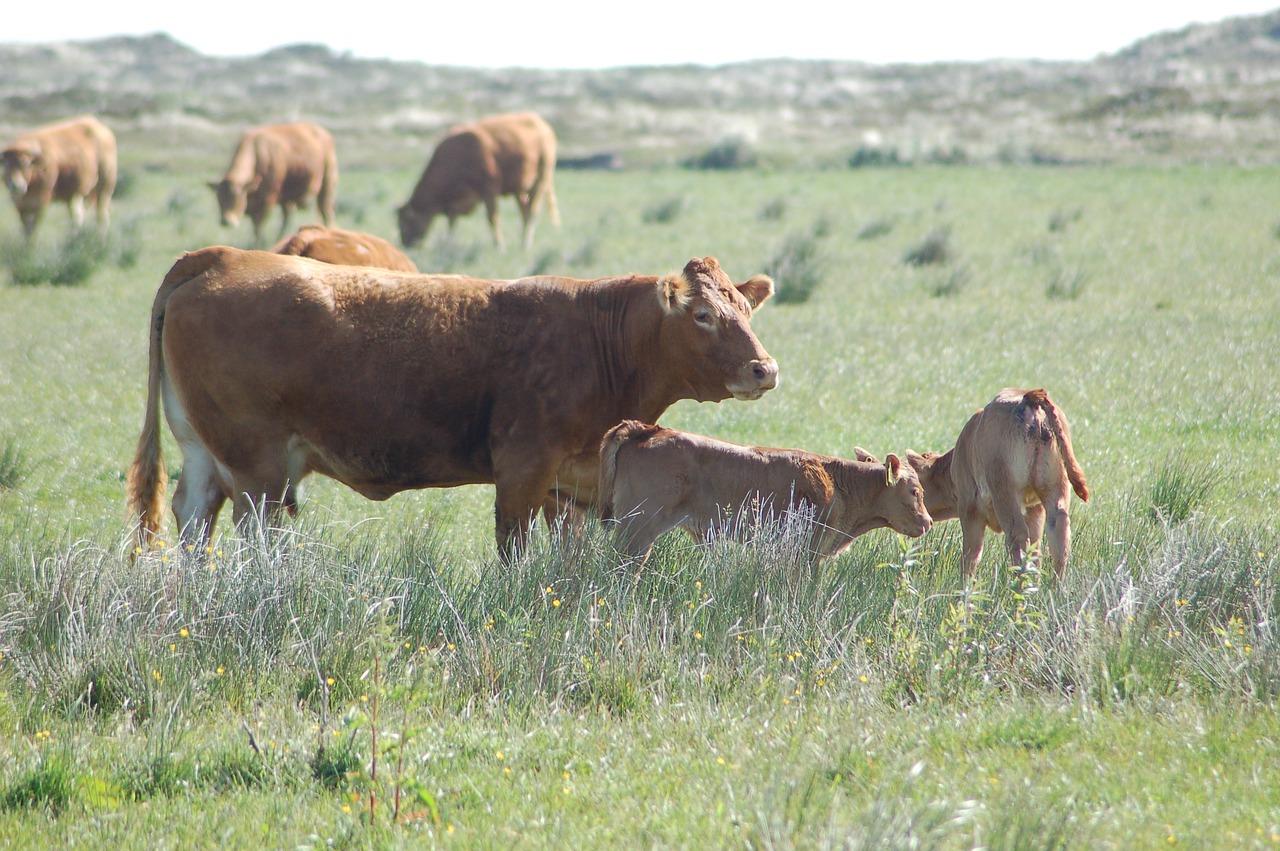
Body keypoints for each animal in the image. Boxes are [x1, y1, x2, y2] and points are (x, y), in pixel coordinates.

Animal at [127, 245, 778, 557]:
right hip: (255, 464)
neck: (597, 338)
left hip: (204, 452)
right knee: (251, 530)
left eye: (745, 309)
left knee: (193, 517)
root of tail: (223, 256)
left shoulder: (572, 484)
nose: (764, 369)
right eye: (701, 314)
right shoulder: (522, 469)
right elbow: (515, 551)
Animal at [206, 122, 335, 249]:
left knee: (326, 212)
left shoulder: (267, 201)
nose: (226, 221)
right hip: (287, 198)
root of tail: (322, 132)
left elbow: (258, 227)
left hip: (326, 185)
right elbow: (255, 227)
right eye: (219, 198)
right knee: (287, 216)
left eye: (237, 197)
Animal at [890, 389, 1090, 578]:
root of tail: (1029, 397)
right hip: (1055, 489)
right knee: (1059, 535)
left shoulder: (969, 509)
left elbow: (971, 557)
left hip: (1005, 493)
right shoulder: (1035, 508)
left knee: (1017, 535)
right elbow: (1036, 552)